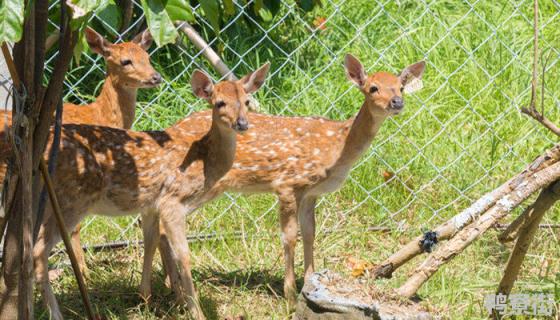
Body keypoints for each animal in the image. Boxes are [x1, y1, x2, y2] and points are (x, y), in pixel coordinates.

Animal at [32, 63, 272, 320]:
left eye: (246, 101)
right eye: (219, 103)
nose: (242, 124)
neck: (205, 161)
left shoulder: (150, 205)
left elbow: (150, 242)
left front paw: (146, 299)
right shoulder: (172, 202)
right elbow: (183, 255)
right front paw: (195, 310)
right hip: (71, 200)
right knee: (38, 251)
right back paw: (55, 312)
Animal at [153, 55, 424, 304]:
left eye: (400, 86)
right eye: (373, 88)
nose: (397, 102)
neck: (337, 146)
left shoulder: (311, 192)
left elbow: (310, 232)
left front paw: (311, 281)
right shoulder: (287, 183)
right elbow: (289, 236)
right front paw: (290, 296)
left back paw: (170, 287)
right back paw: (175, 289)